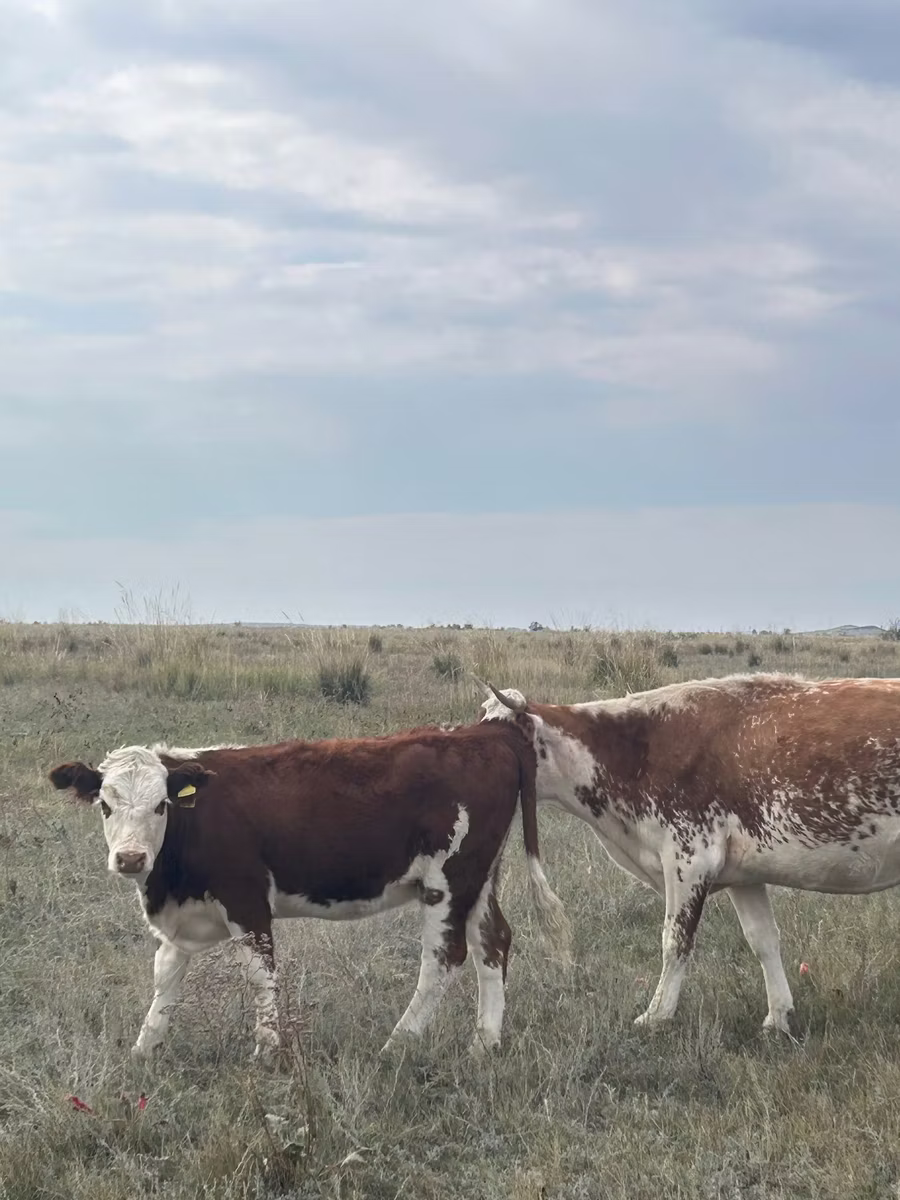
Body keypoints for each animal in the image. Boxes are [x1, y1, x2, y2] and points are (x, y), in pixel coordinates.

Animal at [49, 722, 570, 1060]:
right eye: (104, 805)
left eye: (161, 805)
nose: (130, 859)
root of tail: (486, 734)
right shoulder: (182, 916)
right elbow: (165, 978)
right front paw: (144, 1050)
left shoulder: (246, 901)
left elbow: (261, 976)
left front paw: (267, 1051)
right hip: (479, 879)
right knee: (493, 942)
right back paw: (484, 1043)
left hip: (449, 879)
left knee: (446, 956)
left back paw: (398, 1042)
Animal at [479, 673, 900, 1034]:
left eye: (498, 735)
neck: (637, 751)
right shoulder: (744, 873)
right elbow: (763, 940)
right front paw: (779, 1016)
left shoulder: (690, 856)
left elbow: (675, 941)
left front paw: (656, 1015)